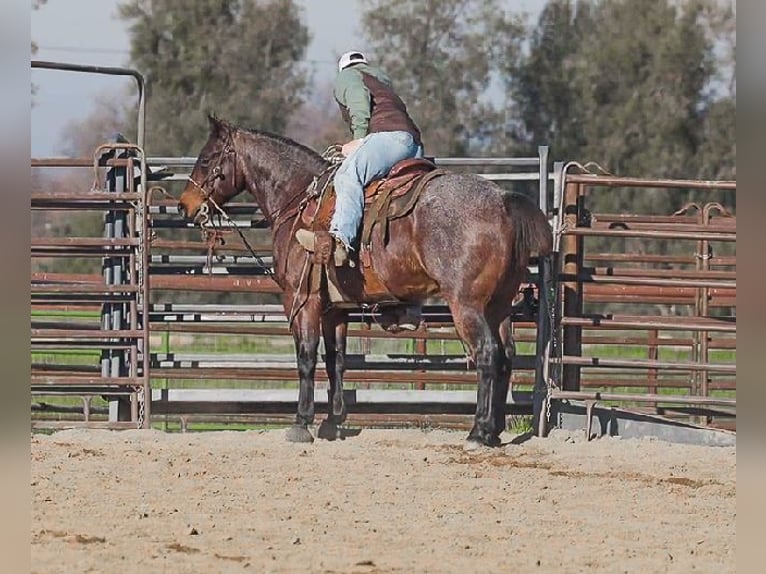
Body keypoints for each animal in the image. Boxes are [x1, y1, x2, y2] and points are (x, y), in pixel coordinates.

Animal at [178, 115, 553, 448]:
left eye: (206, 159)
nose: (184, 206)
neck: (299, 200)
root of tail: (502, 201)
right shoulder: (335, 310)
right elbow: (336, 361)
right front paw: (332, 423)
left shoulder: (303, 301)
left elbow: (306, 356)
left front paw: (302, 423)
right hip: (499, 306)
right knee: (506, 356)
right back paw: (494, 431)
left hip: (466, 305)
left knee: (487, 354)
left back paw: (478, 432)